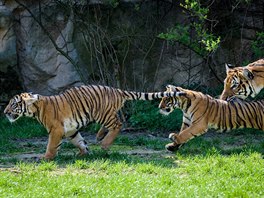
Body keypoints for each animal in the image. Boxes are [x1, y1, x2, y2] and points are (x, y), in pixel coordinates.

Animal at [4, 84, 176, 160]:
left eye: (13, 104)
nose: (5, 112)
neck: (36, 109)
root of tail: (117, 90)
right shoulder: (71, 130)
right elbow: (79, 141)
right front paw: (83, 153)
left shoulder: (56, 130)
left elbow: (51, 145)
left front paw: (46, 158)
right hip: (105, 114)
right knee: (115, 123)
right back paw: (99, 137)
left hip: (102, 113)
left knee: (119, 124)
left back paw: (104, 144)